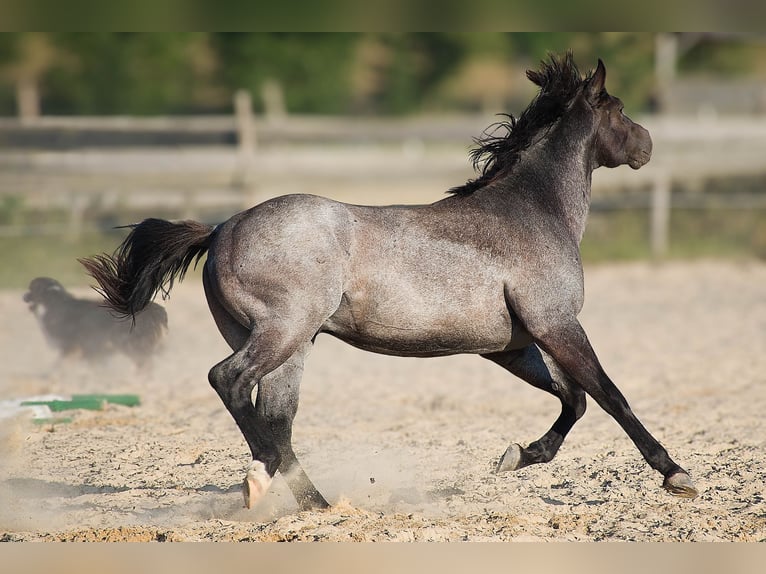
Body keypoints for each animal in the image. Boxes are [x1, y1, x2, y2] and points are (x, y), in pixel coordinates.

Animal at [82, 55, 704, 512]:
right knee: (230, 383)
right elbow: (609, 395)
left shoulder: (510, 345)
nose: (648, 144)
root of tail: (220, 229)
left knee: (276, 417)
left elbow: (573, 400)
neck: (534, 210)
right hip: (283, 332)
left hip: (291, 347)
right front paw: (676, 474)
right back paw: (265, 482)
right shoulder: (558, 325)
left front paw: (515, 456)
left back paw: (314, 502)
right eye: (618, 109)